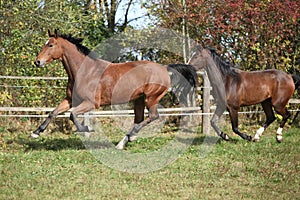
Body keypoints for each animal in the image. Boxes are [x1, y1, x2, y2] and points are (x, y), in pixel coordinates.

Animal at [31, 28, 198, 149]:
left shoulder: (91, 103)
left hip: (151, 98)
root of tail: (165, 68)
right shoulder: (70, 100)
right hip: (139, 100)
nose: (37, 62)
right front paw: (36, 133)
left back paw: (131, 136)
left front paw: (87, 129)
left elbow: (72, 115)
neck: (83, 72)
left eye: (50, 45)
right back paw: (123, 142)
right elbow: (53, 112)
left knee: (153, 116)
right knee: (139, 119)